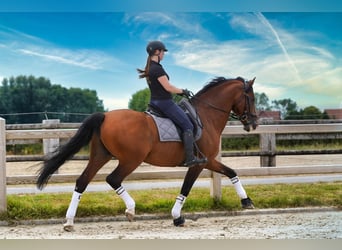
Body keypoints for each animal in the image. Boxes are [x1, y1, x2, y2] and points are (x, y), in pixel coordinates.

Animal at [36, 75, 258, 231]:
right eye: (251, 98)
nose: (254, 123)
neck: (206, 115)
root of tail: (105, 116)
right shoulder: (198, 163)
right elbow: (186, 188)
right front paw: (177, 217)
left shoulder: (208, 160)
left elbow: (231, 172)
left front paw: (246, 201)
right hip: (131, 159)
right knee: (113, 179)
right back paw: (130, 210)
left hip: (101, 156)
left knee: (82, 181)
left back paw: (69, 222)